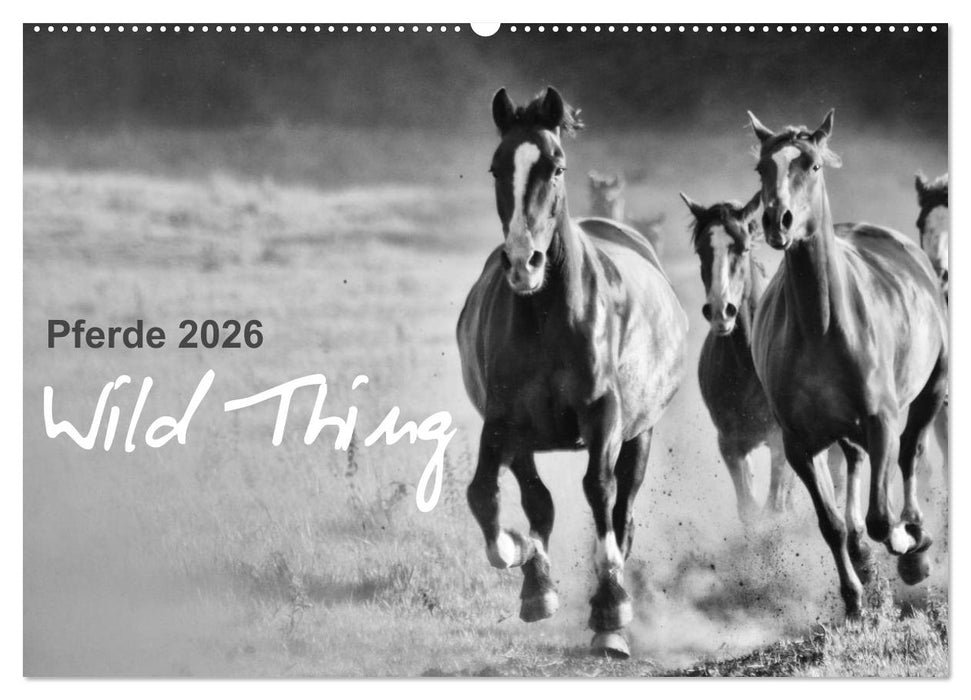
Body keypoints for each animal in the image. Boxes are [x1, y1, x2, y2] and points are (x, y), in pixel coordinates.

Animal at [457, 87, 688, 657]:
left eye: (556, 167)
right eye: (497, 167)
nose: (524, 263)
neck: (547, 315)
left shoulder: (603, 415)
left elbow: (599, 492)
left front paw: (610, 610)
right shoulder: (504, 420)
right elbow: (492, 495)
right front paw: (521, 561)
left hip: (641, 434)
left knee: (622, 511)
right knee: (539, 501)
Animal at [748, 109, 948, 617]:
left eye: (812, 165)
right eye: (762, 168)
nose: (777, 220)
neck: (820, 326)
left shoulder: (881, 420)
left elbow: (882, 516)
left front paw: (906, 545)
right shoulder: (799, 444)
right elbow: (831, 523)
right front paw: (855, 598)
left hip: (933, 388)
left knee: (911, 453)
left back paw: (915, 541)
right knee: (856, 466)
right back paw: (865, 555)